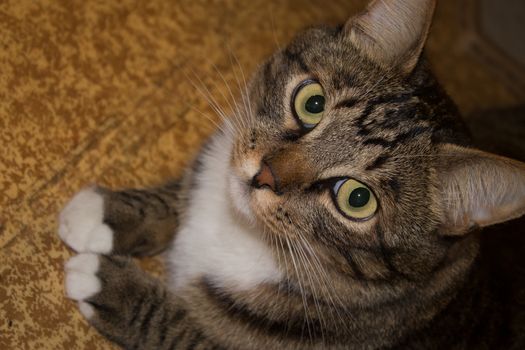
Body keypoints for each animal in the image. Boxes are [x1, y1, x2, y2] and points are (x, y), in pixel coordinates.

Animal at [57, 0, 524, 348]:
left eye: (357, 198)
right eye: (312, 103)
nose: (264, 175)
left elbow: (180, 329)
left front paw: (109, 284)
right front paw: (107, 215)